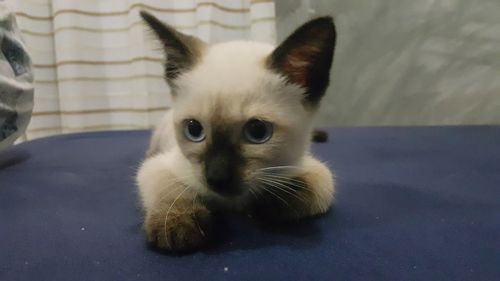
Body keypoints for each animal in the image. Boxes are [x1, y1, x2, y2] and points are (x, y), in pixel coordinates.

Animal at [136, 11, 336, 252]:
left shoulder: (307, 168)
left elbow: (310, 188)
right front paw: (178, 226)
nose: (217, 177)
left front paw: (262, 206)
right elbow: (170, 190)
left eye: (258, 132)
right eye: (194, 130)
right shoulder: (160, 167)